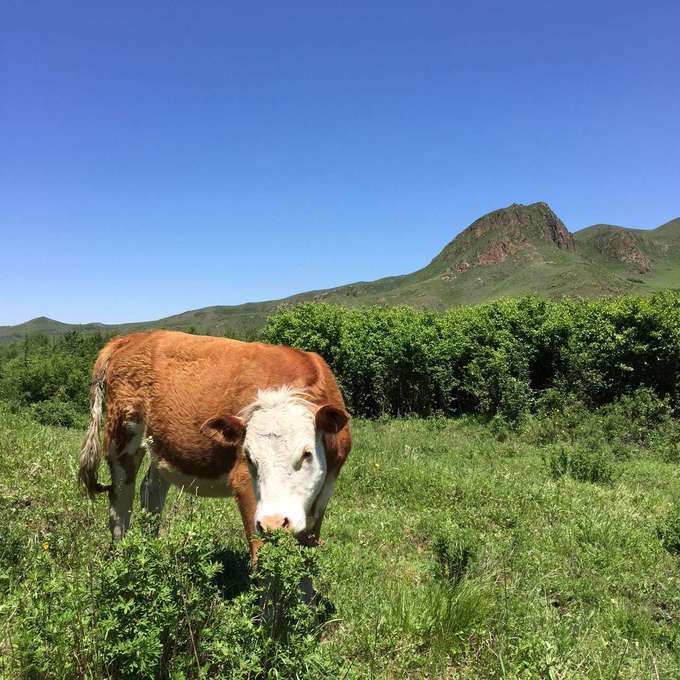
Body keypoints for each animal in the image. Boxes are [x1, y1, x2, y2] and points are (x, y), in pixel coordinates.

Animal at [77, 326, 354, 560]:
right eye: (249, 456)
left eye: (307, 453)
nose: (274, 522)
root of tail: (131, 337)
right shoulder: (245, 485)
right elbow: (261, 558)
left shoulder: (324, 490)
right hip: (122, 435)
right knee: (120, 499)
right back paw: (122, 558)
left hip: (161, 445)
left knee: (151, 490)